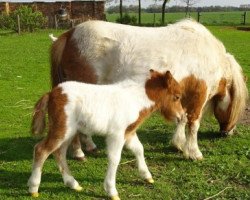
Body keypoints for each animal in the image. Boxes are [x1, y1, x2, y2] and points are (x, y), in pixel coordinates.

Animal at [28, 69, 185, 199]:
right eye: (177, 97)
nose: (181, 116)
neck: (136, 99)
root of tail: (52, 93)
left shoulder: (129, 132)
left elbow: (139, 149)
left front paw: (147, 176)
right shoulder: (117, 134)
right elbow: (115, 158)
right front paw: (111, 191)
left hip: (69, 132)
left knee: (59, 152)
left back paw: (73, 184)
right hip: (62, 129)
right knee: (41, 150)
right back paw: (33, 188)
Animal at [49, 19, 247, 161]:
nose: (228, 133)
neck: (208, 54)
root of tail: (70, 34)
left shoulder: (180, 95)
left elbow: (182, 118)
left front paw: (178, 144)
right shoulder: (198, 96)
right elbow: (192, 123)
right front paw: (194, 152)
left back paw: (89, 147)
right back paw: (79, 152)